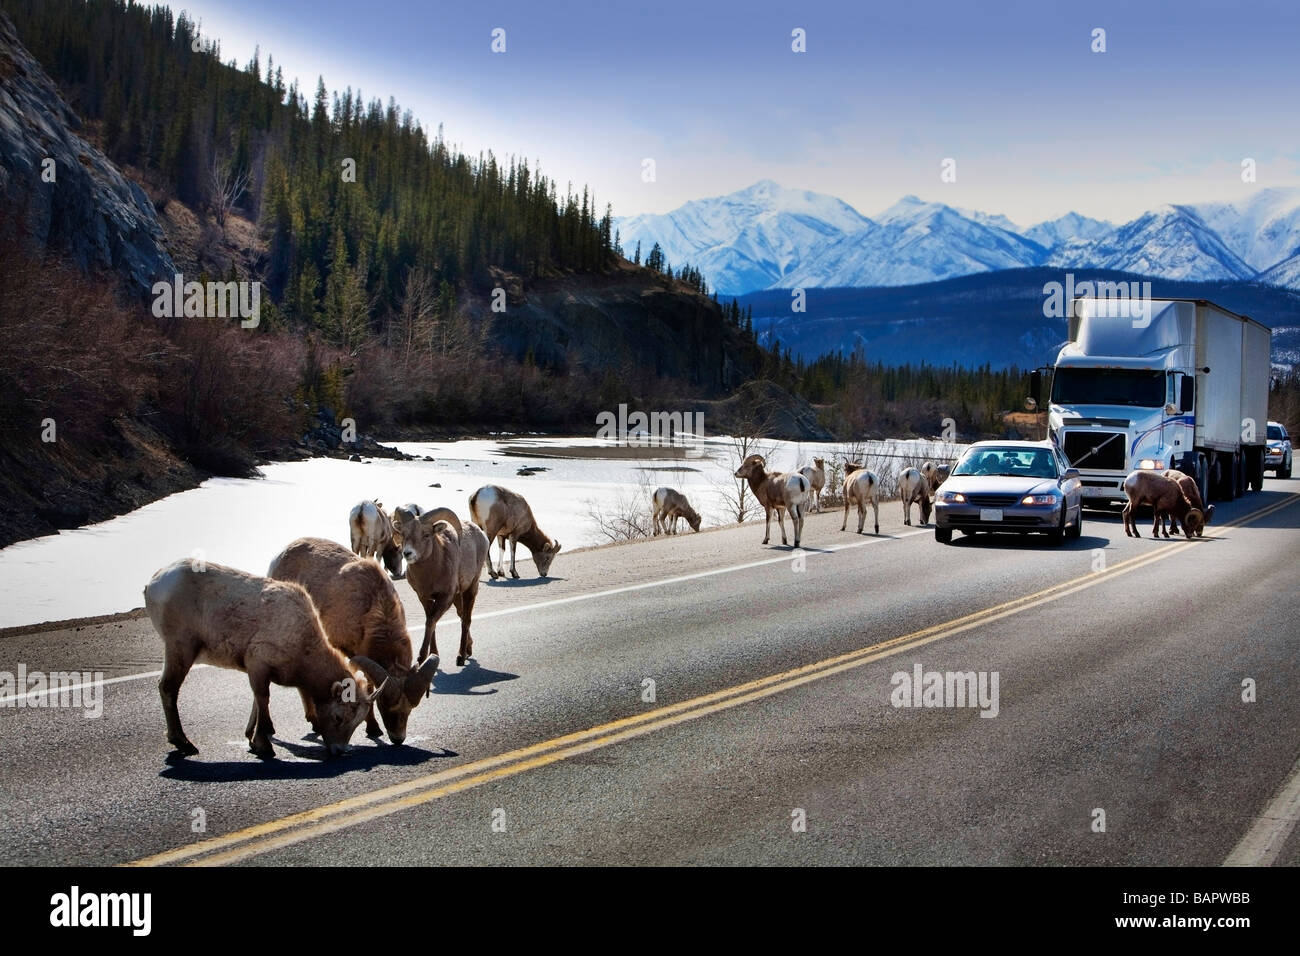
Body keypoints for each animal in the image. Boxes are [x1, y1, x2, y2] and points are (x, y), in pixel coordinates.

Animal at [146, 561, 384, 754]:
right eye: (338, 717)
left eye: (357, 723)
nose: (339, 751)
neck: (302, 642)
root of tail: (154, 582)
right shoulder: (259, 664)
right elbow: (263, 699)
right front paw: (263, 746)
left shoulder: (256, 670)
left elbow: (256, 702)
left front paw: (250, 739)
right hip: (181, 647)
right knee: (168, 687)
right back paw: (183, 743)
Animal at [269, 538, 441, 749]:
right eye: (385, 705)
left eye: (409, 709)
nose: (398, 739)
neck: (374, 605)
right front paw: (373, 729)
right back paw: (314, 723)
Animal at [392, 509, 488, 665]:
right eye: (404, 534)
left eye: (426, 534)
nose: (407, 553)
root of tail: (482, 535)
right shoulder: (424, 597)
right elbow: (431, 622)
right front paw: (433, 655)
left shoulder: (445, 598)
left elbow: (431, 622)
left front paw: (421, 658)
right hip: (458, 597)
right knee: (461, 615)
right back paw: (468, 649)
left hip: (471, 588)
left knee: (466, 620)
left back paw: (461, 656)